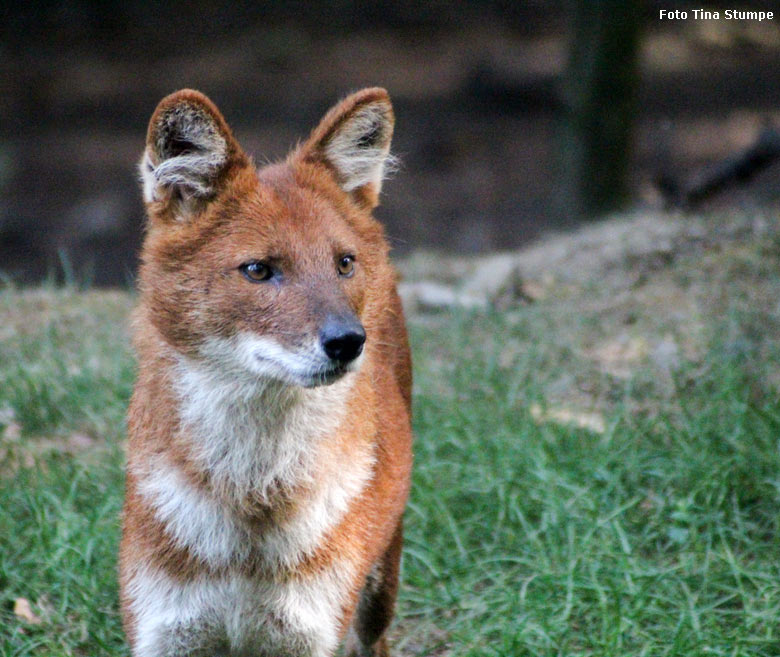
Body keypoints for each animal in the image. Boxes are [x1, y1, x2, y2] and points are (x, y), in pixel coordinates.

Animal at [119, 88, 412, 656]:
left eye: (344, 263)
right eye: (258, 270)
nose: (349, 341)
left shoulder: (309, 632)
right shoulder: (165, 631)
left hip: (380, 586)